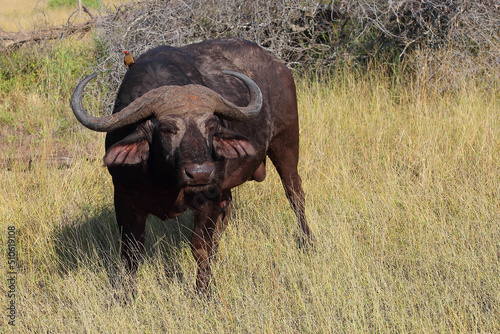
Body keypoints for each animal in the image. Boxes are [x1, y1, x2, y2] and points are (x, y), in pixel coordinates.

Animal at [70, 37, 312, 290]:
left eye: (211, 126)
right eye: (167, 129)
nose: (200, 173)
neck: (164, 179)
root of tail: (279, 66)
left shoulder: (208, 198)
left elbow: (199, 245)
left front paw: (203, 289)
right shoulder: (124, 200)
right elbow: (131, 253)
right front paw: (126, 293)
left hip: (286, 143)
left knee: (295, 195)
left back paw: (307, 243)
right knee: (227, 210)